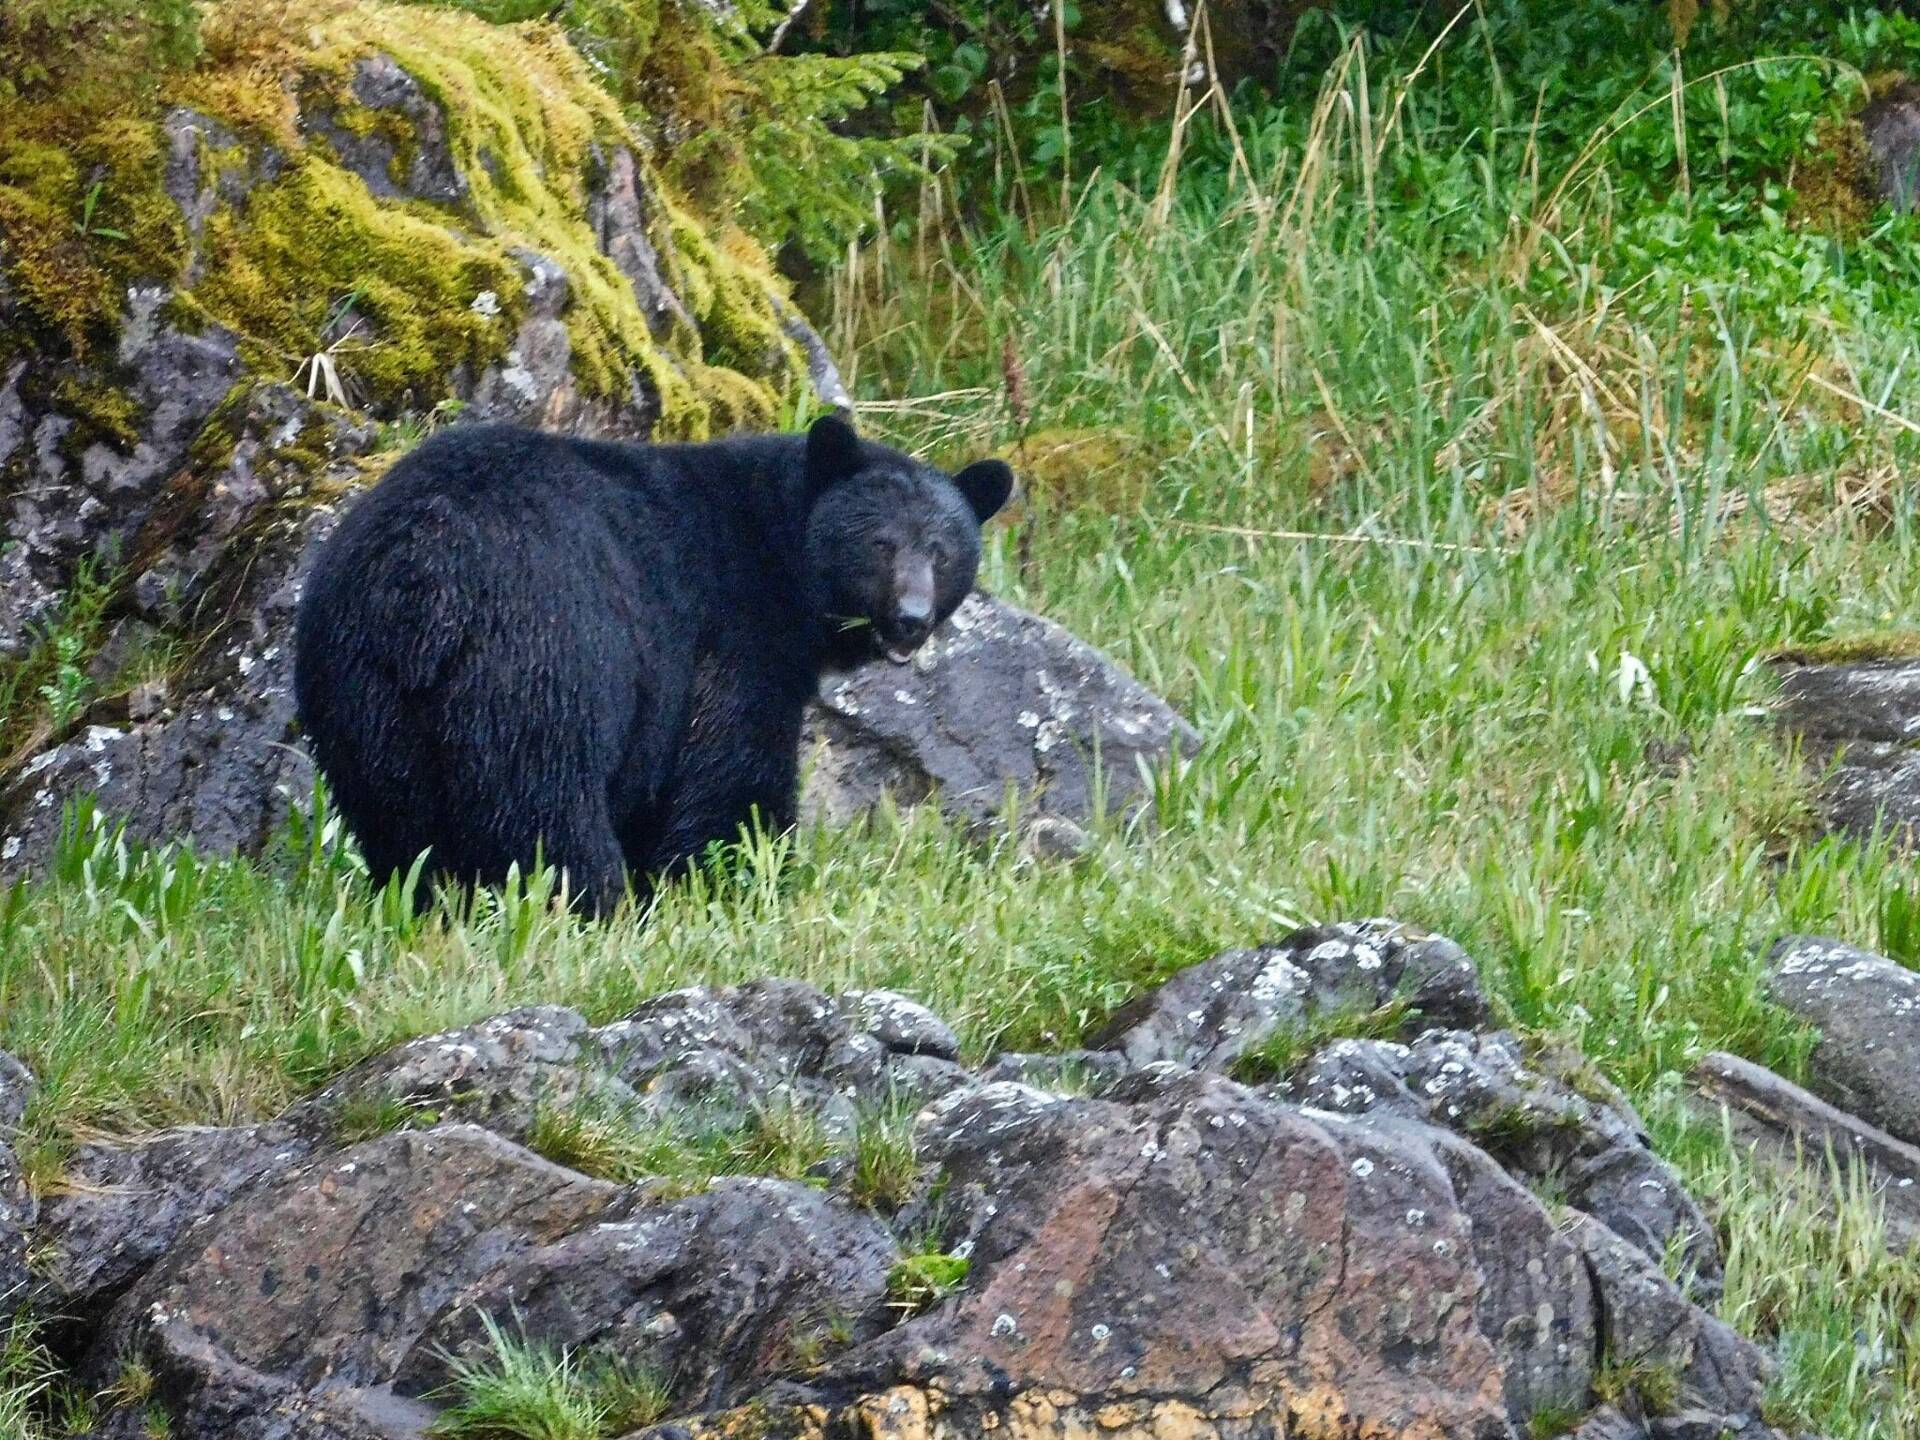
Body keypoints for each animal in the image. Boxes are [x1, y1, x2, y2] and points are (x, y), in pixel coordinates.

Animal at [293, 414, 1014, 913]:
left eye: (943, 550)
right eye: (881, 544)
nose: (911, 618)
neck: (779, 552)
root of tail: (423, 570)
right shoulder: (729, 633)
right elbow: (730, 775)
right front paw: (739, 881)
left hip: (359, 689)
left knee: (396, 817)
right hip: (542, 661)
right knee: (543, 809)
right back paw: (594, 907)